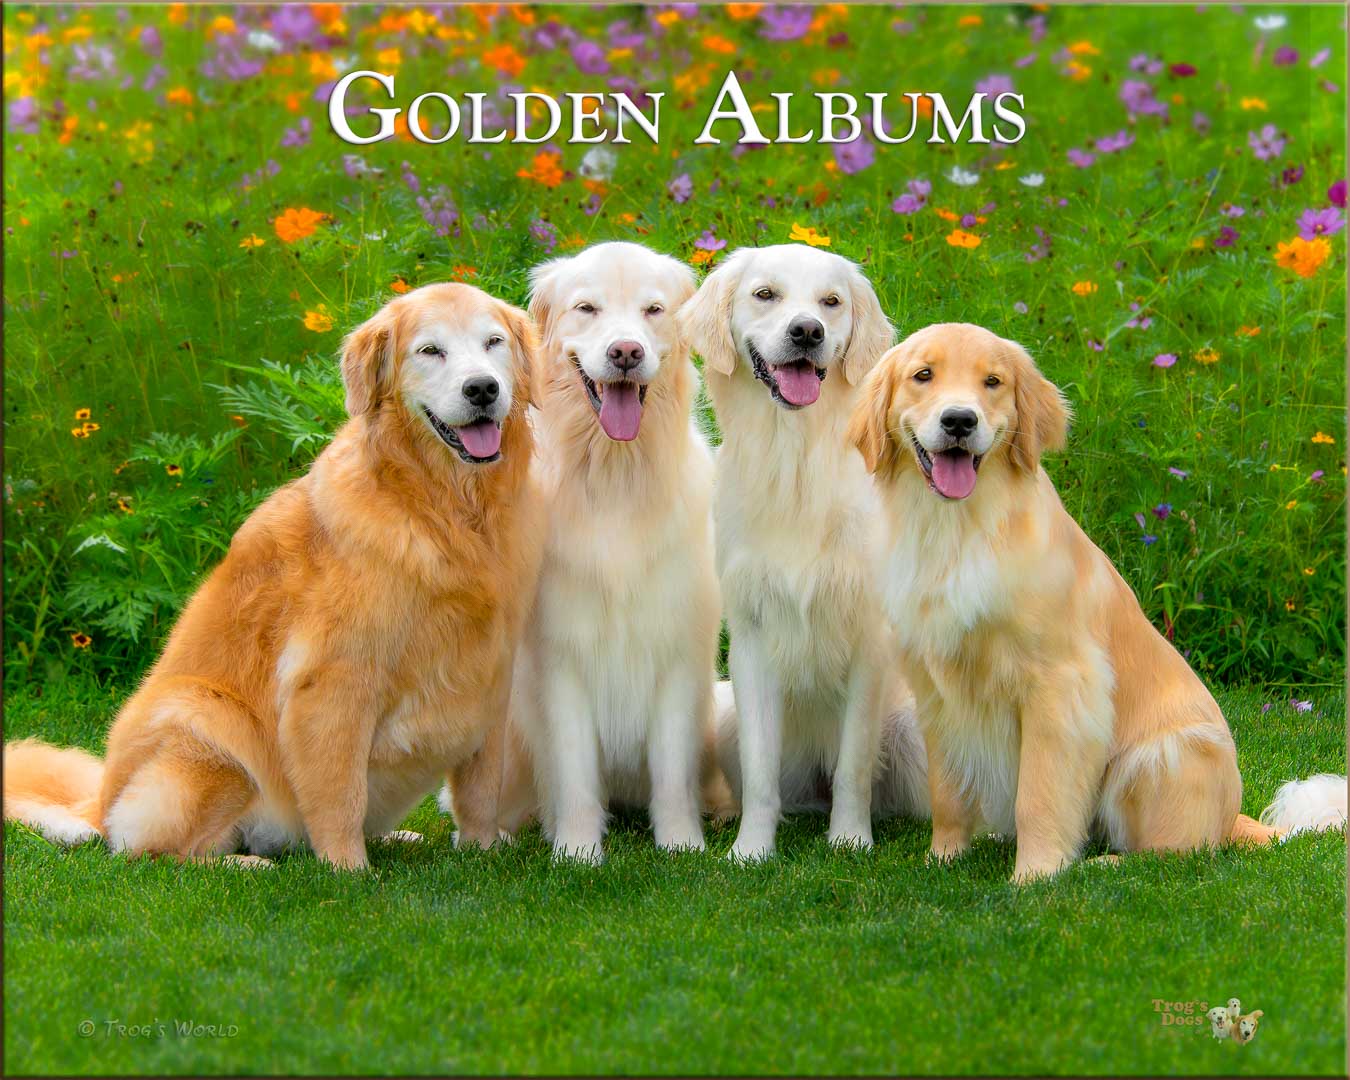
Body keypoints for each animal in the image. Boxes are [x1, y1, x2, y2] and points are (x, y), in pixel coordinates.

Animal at [6, 284, 542, 869]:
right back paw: (244, 864)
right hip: (202, 718)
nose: (483, 389)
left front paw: (482, 850)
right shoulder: (331, 680)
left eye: (493, 343)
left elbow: (480, 790)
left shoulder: (490, 676)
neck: (443, 512)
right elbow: (340, 794)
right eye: (430, 351)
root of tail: (98, 805)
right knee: (149, 850)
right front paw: (348, 870)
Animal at [475, 240, 729, 864]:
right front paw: (577, 851)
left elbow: (671, 772)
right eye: (587, 309)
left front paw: (682, 845)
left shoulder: (676, 654)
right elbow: (575, 773)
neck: (614, 476)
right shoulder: (561, 659)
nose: (626, 352)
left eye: (653, 311)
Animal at [685, 247, 928, 858]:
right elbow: (761, 771)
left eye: (831, 302)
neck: (794, 459)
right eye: (765, 294)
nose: (807, 331)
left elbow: (853, 766)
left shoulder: (869, 638)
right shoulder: (750, 634)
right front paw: (750, 849)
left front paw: (850, 840)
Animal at [847, 325, 1344, 880]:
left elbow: (1039, 794)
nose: (960, 420)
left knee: (1177, 852)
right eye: (923, 375)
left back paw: (1101, 863)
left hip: (1161, 754)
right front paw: (942, 858)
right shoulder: (937, 689)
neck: (958, 530)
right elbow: (947, 792)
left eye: (993, 382)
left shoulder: (1061, 686)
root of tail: (1232, 818)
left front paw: (1035, 874)